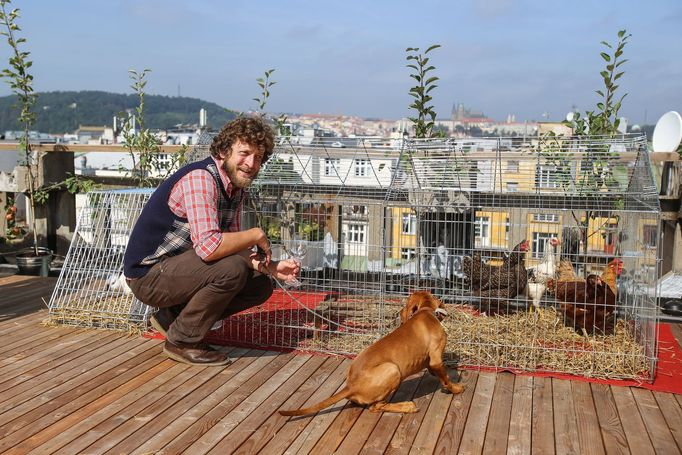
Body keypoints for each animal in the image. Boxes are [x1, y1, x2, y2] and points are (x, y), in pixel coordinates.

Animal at [276, 292, 462, 416]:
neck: (425, 311)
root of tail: (350, 386)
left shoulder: (431, 362)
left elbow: (438, 374)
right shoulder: (436, 359)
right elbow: (446, 377)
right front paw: (456, 388)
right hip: (392, 369)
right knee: (376, 407)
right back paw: (407, 406)